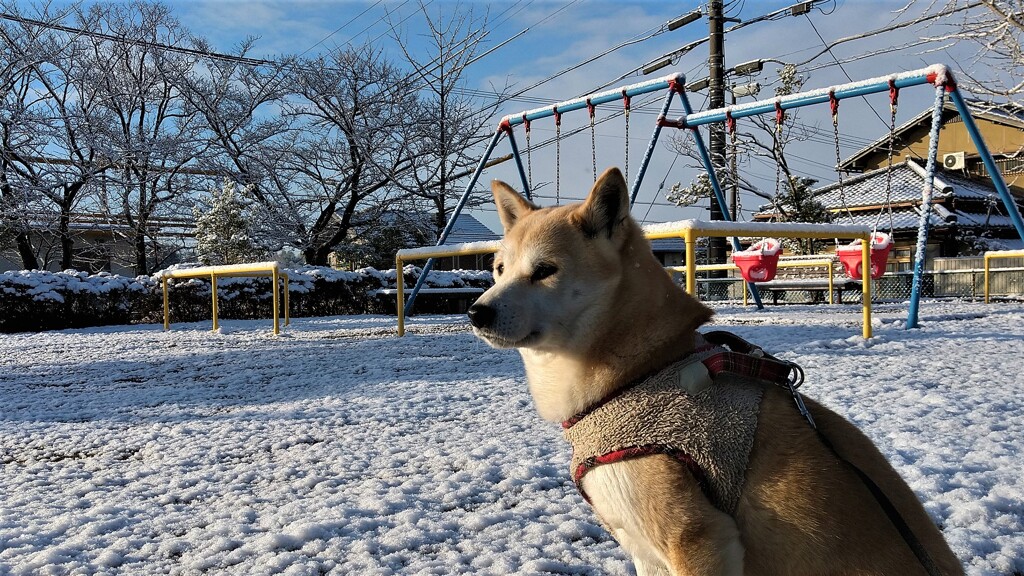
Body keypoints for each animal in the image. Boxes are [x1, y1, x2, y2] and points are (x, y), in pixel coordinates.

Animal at [466, 167, 958, 573]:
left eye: (545, 270)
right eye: (499, 269)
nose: (475, 312)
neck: (641, 372)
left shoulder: (696, 537)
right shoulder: (646, 550)